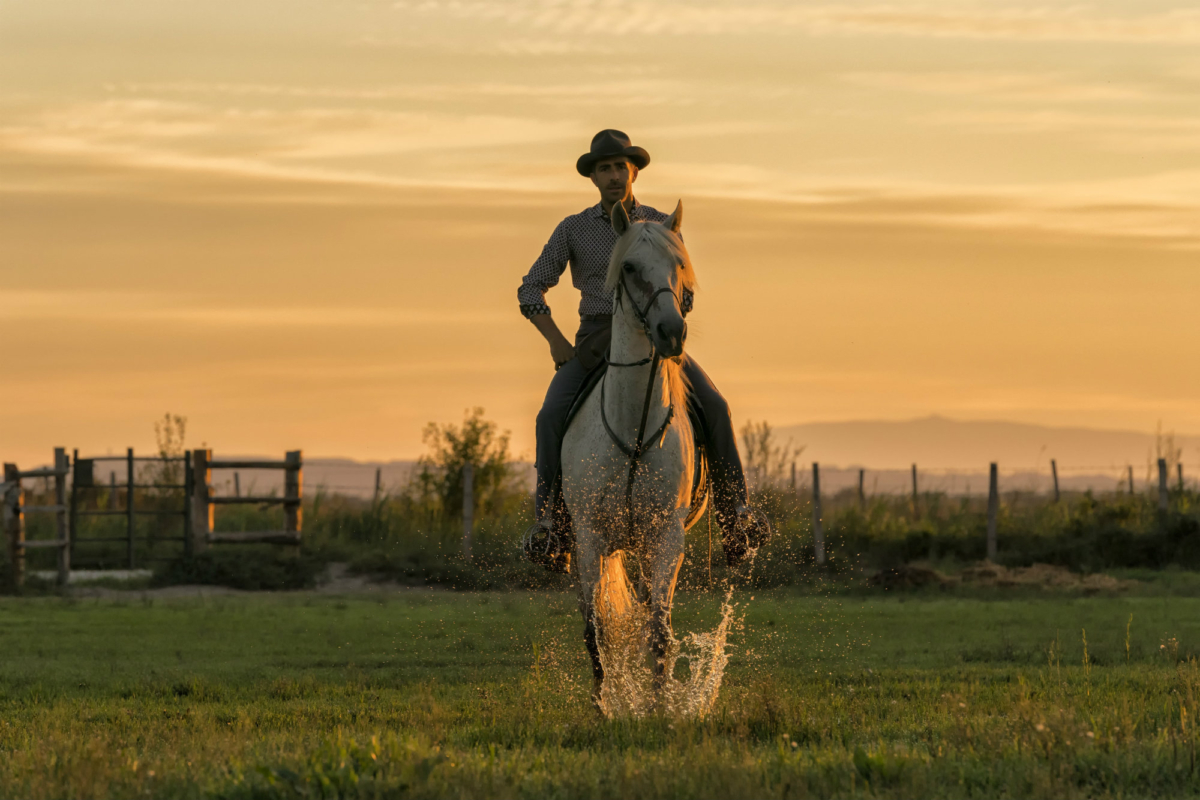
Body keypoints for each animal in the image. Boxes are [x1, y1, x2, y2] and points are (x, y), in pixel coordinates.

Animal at [561, 200, 700, 705]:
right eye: (630, 267)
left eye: (680, 265)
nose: (671, 331)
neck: (633, 432)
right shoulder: (589, 539)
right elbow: (595, 631)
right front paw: (606, 706)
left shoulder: (666, 539)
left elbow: (659, 631)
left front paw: (659, 706)